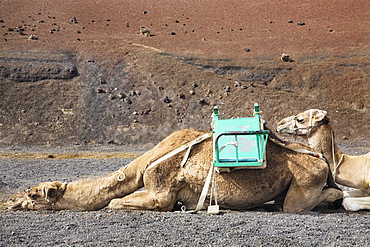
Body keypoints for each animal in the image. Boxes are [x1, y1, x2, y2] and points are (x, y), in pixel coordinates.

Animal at [7, 128, 342, 213]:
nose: (9, 201)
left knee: (297, 205)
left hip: (304, 181)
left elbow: (114, 203)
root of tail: (321, 158)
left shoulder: (160, 193)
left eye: (33, 194)